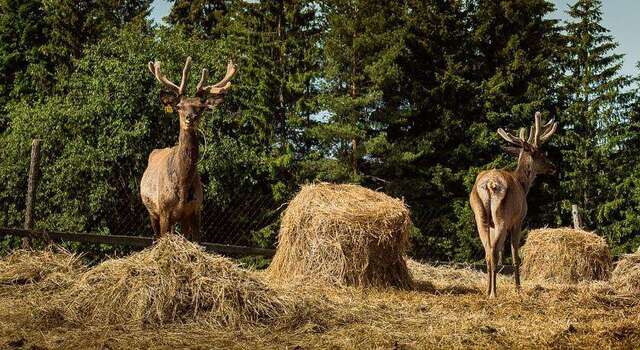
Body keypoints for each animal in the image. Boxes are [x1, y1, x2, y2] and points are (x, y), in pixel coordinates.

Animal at [140, 56, 238, 242]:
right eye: (179, 106)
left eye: (201, 107)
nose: (189, 118)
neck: (182, 184)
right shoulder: (163, 209)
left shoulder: (195, 209)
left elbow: (197, 241)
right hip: (151, 211)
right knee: (156, 237)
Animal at [468, 112, 556, 298]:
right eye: (542, 154)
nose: (553, 167)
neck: (523, 185)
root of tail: (490, 183)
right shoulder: (518, 221)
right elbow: (516, 255)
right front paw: (518, 288)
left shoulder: (493, 225)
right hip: (502, 216)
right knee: (494, 251)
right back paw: (494, 293)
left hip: (480, 215)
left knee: (488, 252)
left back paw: (487, 291)